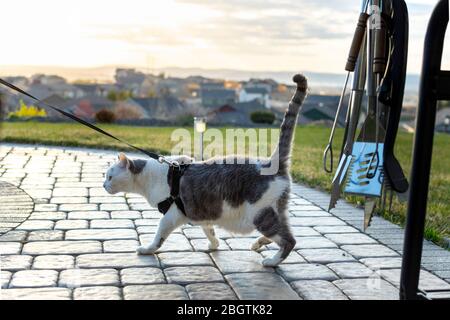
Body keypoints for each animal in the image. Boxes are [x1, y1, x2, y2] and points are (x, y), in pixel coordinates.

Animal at [103, 74, 308, 266]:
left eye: (110, 176)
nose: (103, 185)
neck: (152, 177)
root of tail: (270, 163)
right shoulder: (203, 214)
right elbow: (209, 231)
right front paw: (214, 245)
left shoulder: (171, 216)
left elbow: (158, 236)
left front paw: (147, 249)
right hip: (274, 211)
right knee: (282, 233)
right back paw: (259, 243)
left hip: (260, 215)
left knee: (289, 240)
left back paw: (272, 261)